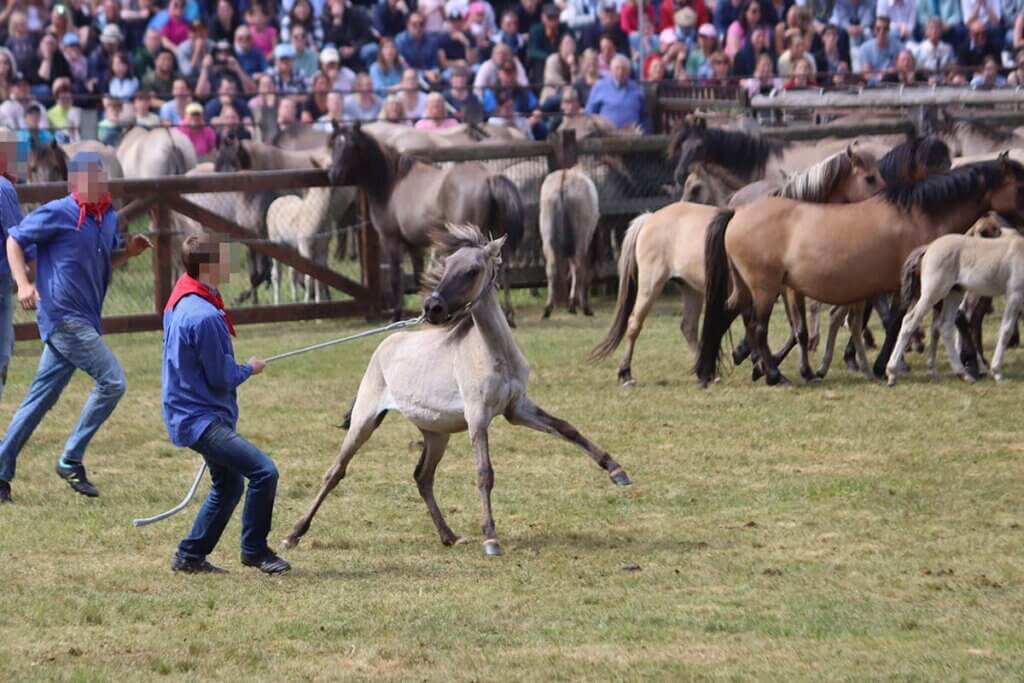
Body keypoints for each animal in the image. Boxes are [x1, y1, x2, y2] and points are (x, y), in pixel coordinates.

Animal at [282, 224, 630, 557]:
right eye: (446, 265)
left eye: (473, 270)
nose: (432, 307)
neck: (495, 354)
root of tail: (385, 344)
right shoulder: (478, 416)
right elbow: (484, 473)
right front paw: (491, 540)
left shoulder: (517, 408)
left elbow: (567, 429)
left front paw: (617, 472)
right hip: (364, 421)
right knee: (335, 472)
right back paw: (292, 535)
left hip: (437, 434)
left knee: (422, 477)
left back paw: (448, 535)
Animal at [536, 165, 598, 317]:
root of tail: (564, 180)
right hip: (580, 238)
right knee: (578, 267)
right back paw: (574, 305)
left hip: (548, 236)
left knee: (552, 267)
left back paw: (548, 308)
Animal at [696, 156, 1024, 387]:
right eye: (1020, 185)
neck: (920, 214)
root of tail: (736, 212)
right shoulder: (919, 286)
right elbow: (902, 322)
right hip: (765, 288)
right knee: (757, 328)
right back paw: (775, 375)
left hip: (746, 287)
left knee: (725, 315)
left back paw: (708, 370)